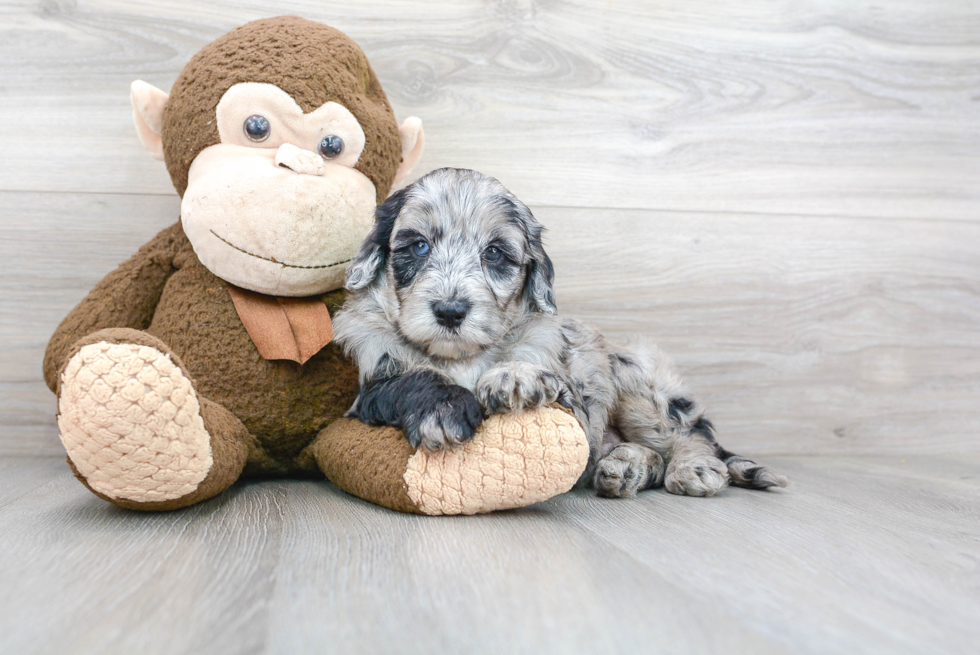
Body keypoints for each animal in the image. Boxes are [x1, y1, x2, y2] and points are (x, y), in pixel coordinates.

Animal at [336, 168, 788, 498]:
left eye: (494, 253)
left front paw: (513, 376)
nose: (450, 311)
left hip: (637, 383)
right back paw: (625, 468)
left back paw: (690, 468)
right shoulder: (370, 386)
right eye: (418, 246)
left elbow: (532, 371)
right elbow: (411, 378)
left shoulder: (568, 399)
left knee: (689, 434)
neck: (462, 356)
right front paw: (443, 407)